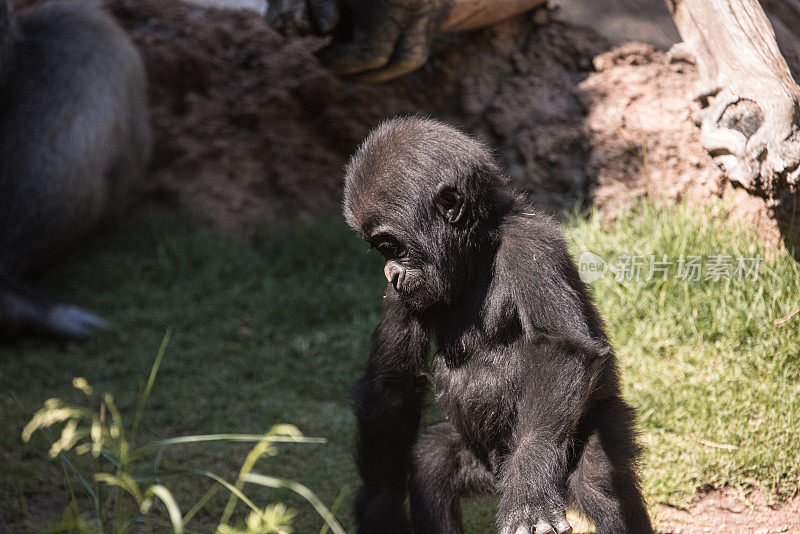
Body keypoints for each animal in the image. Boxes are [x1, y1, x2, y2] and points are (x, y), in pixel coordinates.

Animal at [342, 119, 648, 534]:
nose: (391, 273)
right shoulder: (405, 295)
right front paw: (380, 503)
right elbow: (392, 385)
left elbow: (561, 347)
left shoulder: (531, 245)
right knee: (432, 464)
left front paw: (530, 483)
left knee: (600, 482)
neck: (478, 249)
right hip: (484, 470)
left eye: (392, 246)